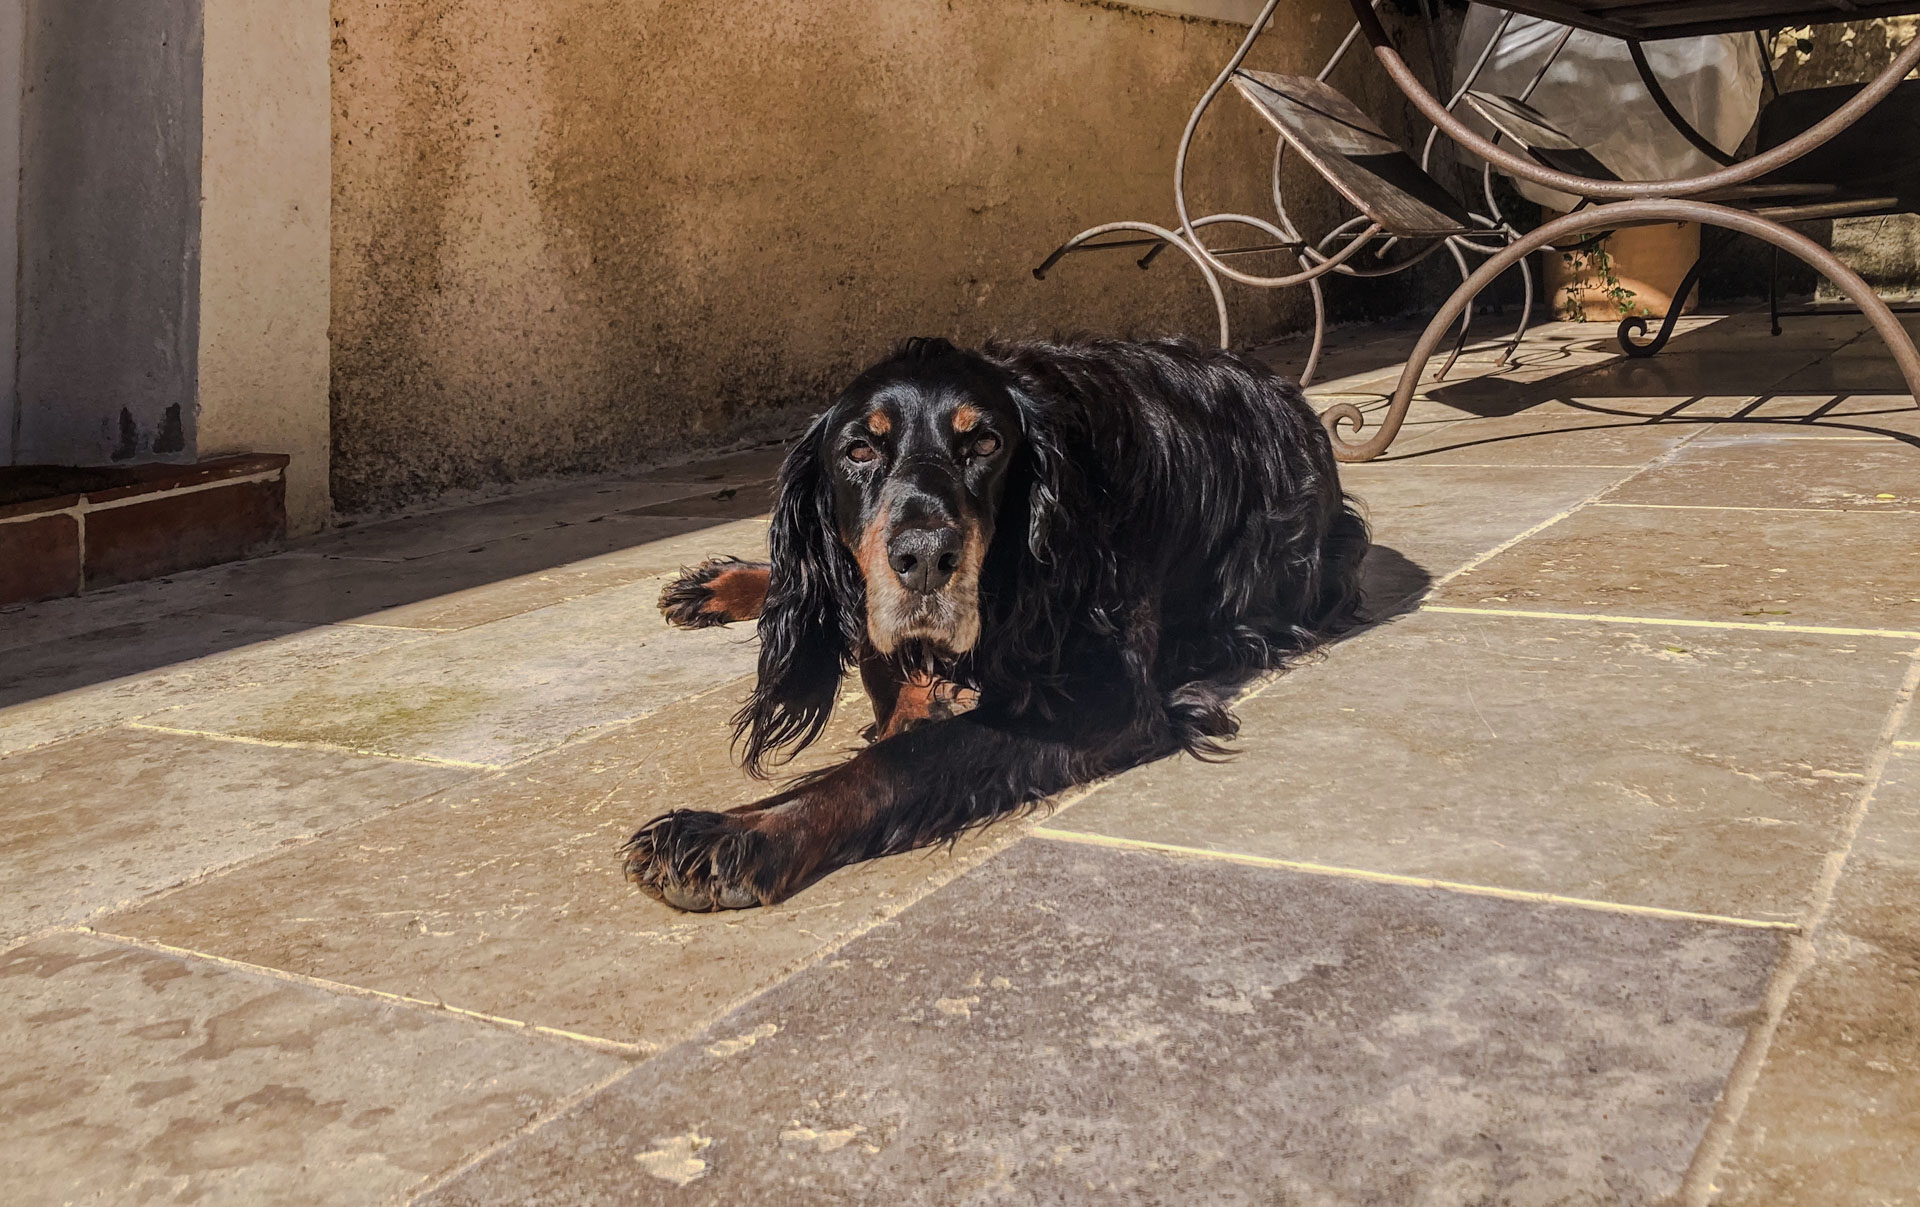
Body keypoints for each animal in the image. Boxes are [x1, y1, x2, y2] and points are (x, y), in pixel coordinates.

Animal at [629, 333, 1367, 909]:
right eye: (859, 451)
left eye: (985, 443)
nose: (925, 558)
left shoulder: (1102, 694)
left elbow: (906, 757)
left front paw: (739, 832)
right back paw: (716, 585)